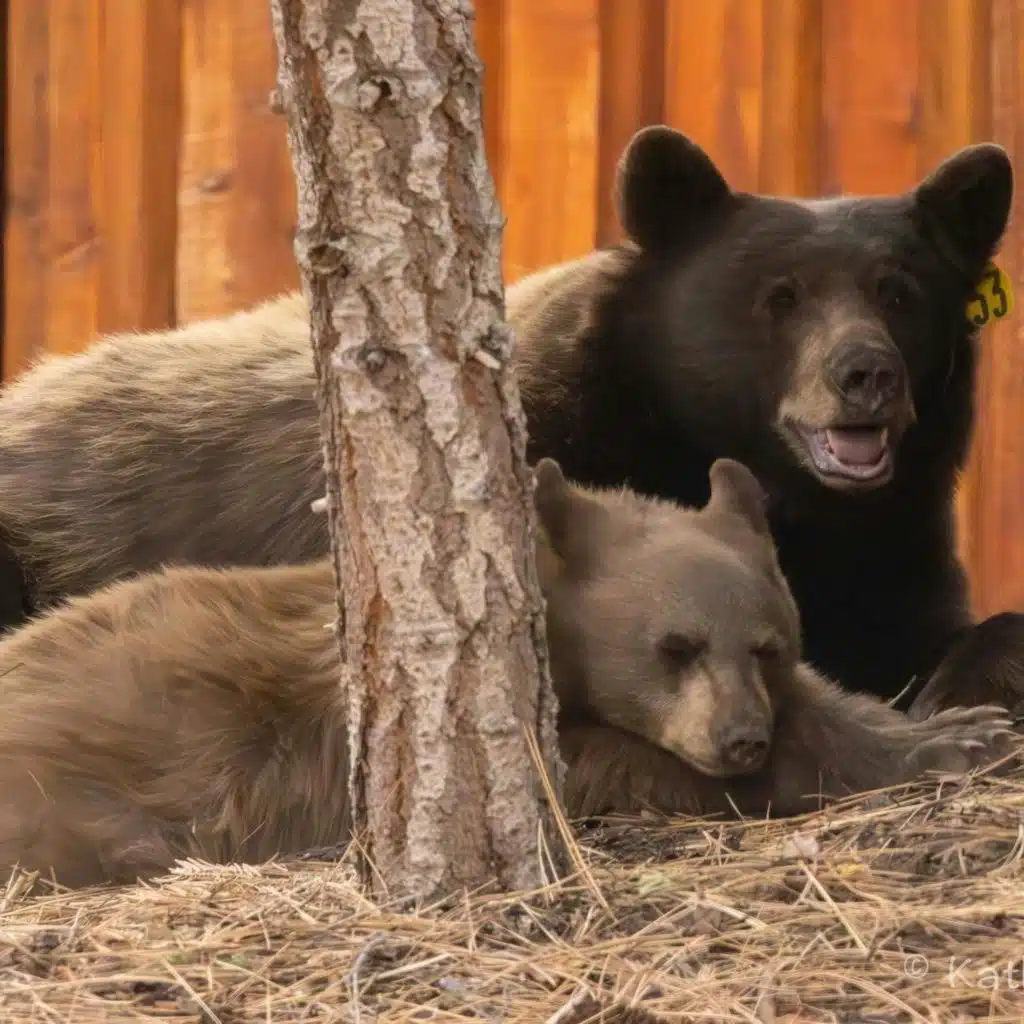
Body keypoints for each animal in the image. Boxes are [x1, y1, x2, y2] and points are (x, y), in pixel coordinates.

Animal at [0, 126, 1018, 721]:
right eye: (781, 295)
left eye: (901, 289)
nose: (867, 376)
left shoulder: (888, 541)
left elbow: (919, 628)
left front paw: (967, 680)